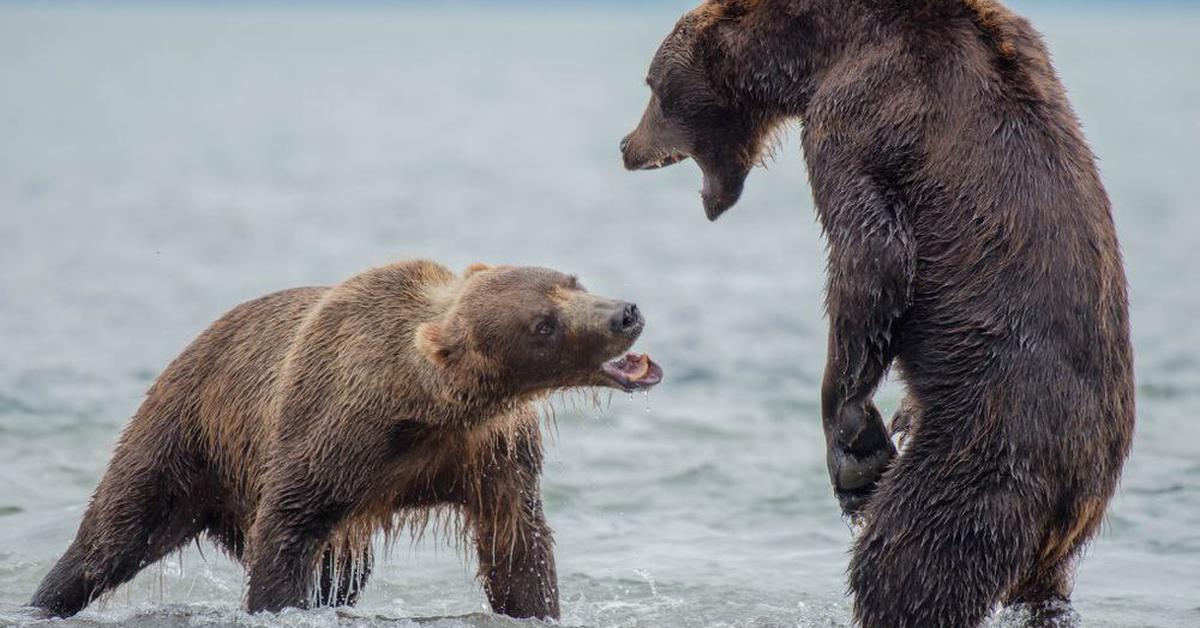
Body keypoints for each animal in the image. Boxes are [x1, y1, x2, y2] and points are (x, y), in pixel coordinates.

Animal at [30, 259, 667, 619]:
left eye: (571, 282)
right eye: (543, 325)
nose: (625, 313)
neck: (429, 408)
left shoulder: (492, 454)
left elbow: (517, 547)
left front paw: (536, 605)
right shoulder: (333, 436)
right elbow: (285, 534)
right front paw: (279, 602)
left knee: (342, 574)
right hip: (185, 434)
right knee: (112, 535)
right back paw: (47, 598)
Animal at [619, 2, 1132, 624]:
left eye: (652, 86)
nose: (625, 145)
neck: (816, 53)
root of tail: (1077, 492)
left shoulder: (863, 114)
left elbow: (873, 258)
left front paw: (850, 432)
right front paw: (889, 418)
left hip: (989, 445)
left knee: (910, 556)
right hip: (1058, 527)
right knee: (1041, 587)